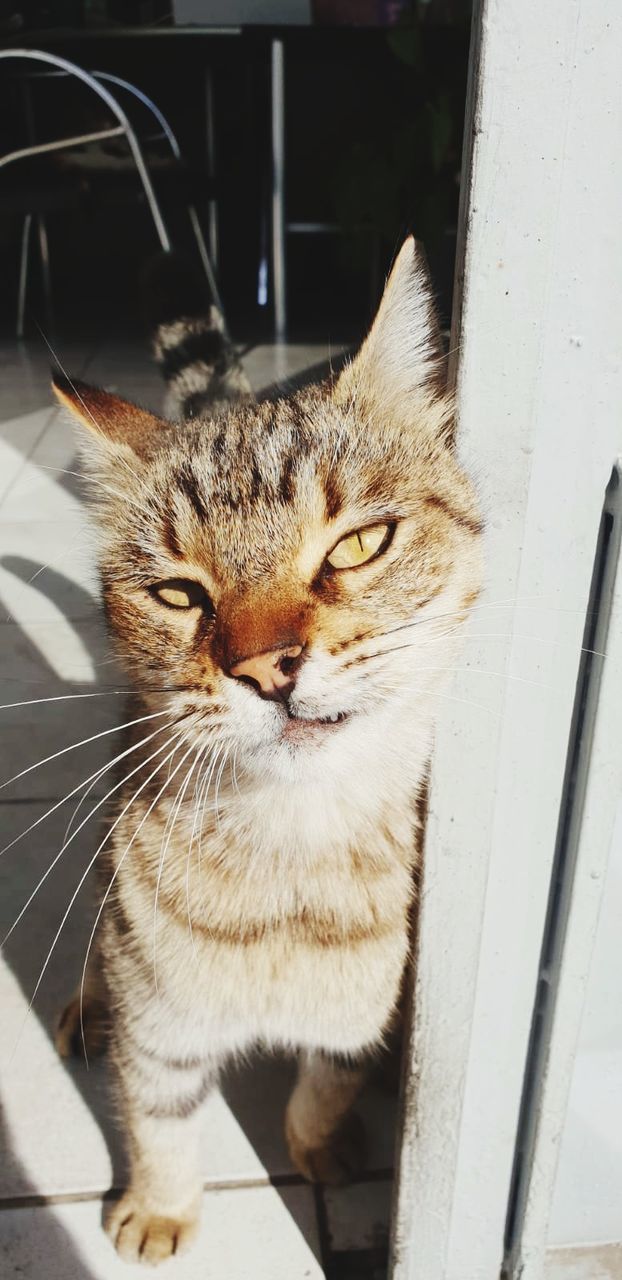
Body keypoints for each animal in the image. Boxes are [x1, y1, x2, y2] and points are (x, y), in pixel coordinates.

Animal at [52, 238, 481, 1259]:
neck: (290, 858)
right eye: (177, 593)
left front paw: (320, 1145)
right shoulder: (160, 1026)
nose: (265, 667)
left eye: (359, 544)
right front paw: (160, 1207)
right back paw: (88, 1004)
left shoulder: (361, 1017)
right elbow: (157, 1119)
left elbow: (328, 1081)